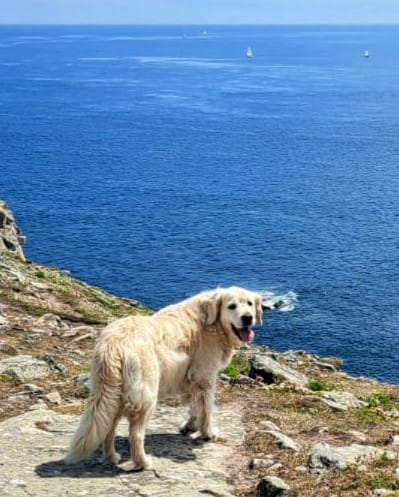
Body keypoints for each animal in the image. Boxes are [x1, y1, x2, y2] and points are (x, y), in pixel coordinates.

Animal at [65, 286, 266, 468]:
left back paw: (110, 457)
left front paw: (190, 426)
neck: (212, 323)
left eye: (249, 303)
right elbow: (206, 409)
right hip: (146, 396)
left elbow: (195, 406)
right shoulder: (205, 377)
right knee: (135, 434)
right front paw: (208, 433)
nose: (248, 317)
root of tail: (113, 346)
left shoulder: (191, 378)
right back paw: (143, 463)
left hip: (113, 396)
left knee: (109, 428)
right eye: (231, 306)